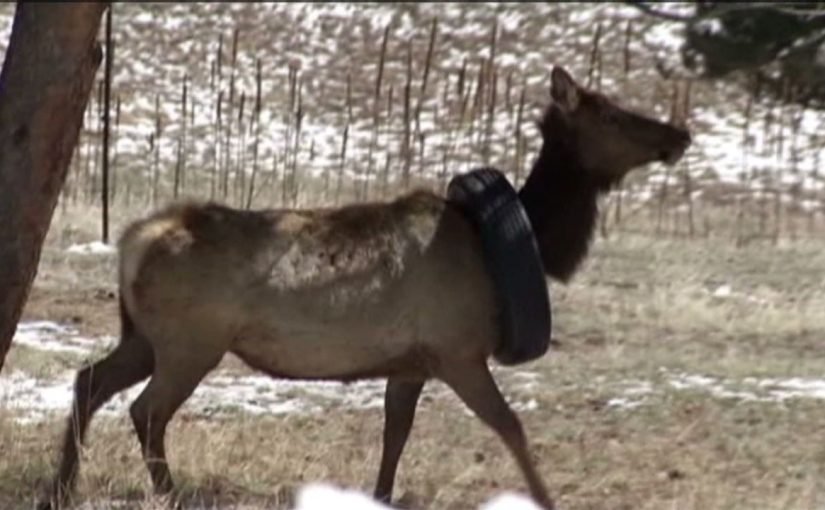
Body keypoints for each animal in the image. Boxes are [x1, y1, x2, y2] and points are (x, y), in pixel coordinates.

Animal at [41, 66, 690, 510]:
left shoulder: (410, 363)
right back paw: (168, 493)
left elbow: (394, 434)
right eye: (611, 113)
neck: (519, 244)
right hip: (190, 341)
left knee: (89, 380)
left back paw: (62, 486)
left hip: (143, 335)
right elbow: (511, 426)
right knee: (146, 410)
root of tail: (132, 241)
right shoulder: (459, 350)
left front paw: (379, 494)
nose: (679, 133)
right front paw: (547, 499)